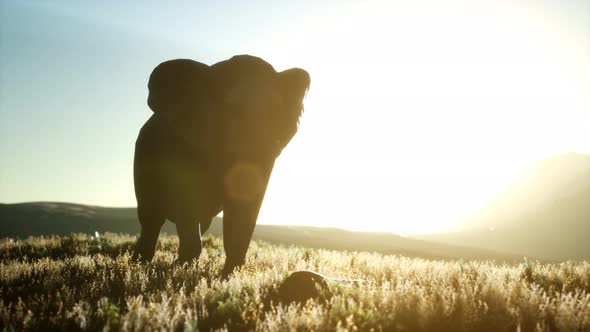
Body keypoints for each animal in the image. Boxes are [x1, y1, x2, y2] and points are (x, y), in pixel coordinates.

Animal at [132, 55, 312, 278]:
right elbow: (187, 202)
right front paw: (184, 273)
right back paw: (140, 266)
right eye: (231, 108)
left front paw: (227, 278)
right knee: (151, 219)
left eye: (276, 112)